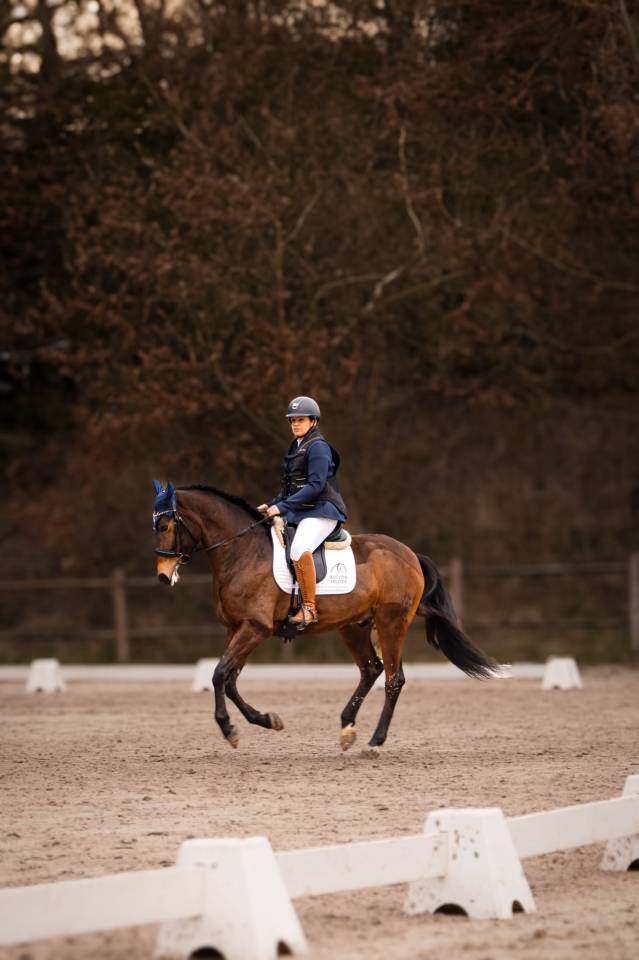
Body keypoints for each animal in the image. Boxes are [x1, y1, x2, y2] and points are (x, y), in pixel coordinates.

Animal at [152, 481, 500, 751]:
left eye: (166, 526)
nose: (163, 575)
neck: (241, 552)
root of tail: (409, 554)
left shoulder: (255, 628)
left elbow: (219, 674)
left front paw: (229, 730)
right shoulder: (236, 628)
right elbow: (230, 678)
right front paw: (267, 720)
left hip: (391, 622)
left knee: (393, 679)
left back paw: (375, 741)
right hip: (355, 626)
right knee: (371, 670)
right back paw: (347, 727)